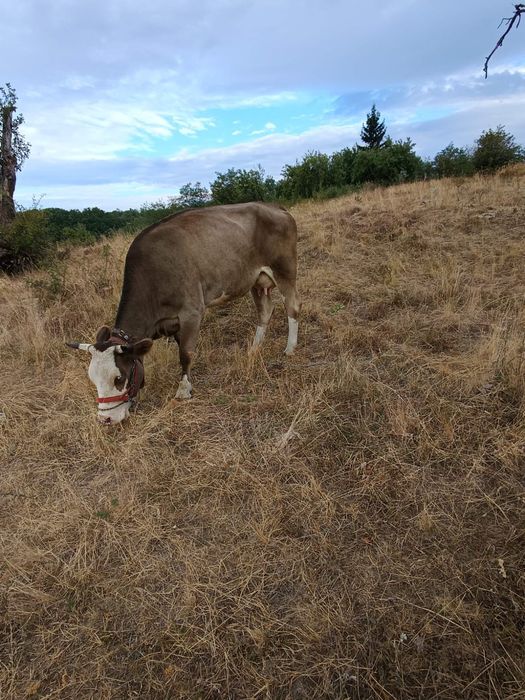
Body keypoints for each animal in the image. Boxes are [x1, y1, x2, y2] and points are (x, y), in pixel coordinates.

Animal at [67, 202, 300, 425]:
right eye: (93, 379)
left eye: (119, 378)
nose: (105, 419)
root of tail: (272, 206)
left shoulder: (191, 312)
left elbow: (185, 354)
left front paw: (183, 390)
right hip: (255, 279)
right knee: (265, 311)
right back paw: (254, 348)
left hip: (285, 269)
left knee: (293, 306)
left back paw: (290, 348)